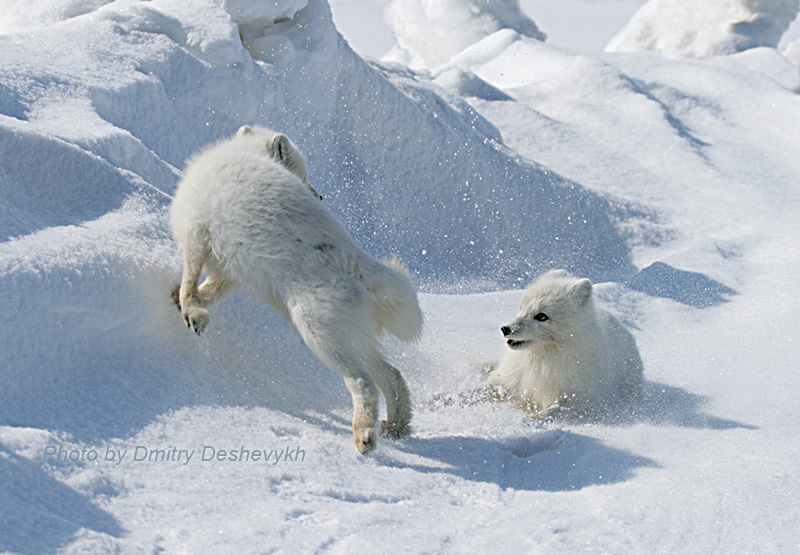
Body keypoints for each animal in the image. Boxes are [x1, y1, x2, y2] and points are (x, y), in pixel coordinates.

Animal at [170, 127, 424, 456]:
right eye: (303, 175)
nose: (319, 196)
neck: (241, 151)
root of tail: (355, 261)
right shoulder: (231, 270)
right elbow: (209, 290)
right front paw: (182, 300)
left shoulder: (197, 234)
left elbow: (191, 282)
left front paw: (191, 313)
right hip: (352, 338)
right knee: (392, 375)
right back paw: (397, 426)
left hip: (319, 334)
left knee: (363, 382)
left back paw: (364, 435)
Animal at [482, 270, 644, 416]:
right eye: (521, 308)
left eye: (542, 316)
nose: (505, 329)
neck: (540, 358)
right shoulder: (510, 381)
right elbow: (482, 388)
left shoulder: (580, 401)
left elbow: (546, 413)